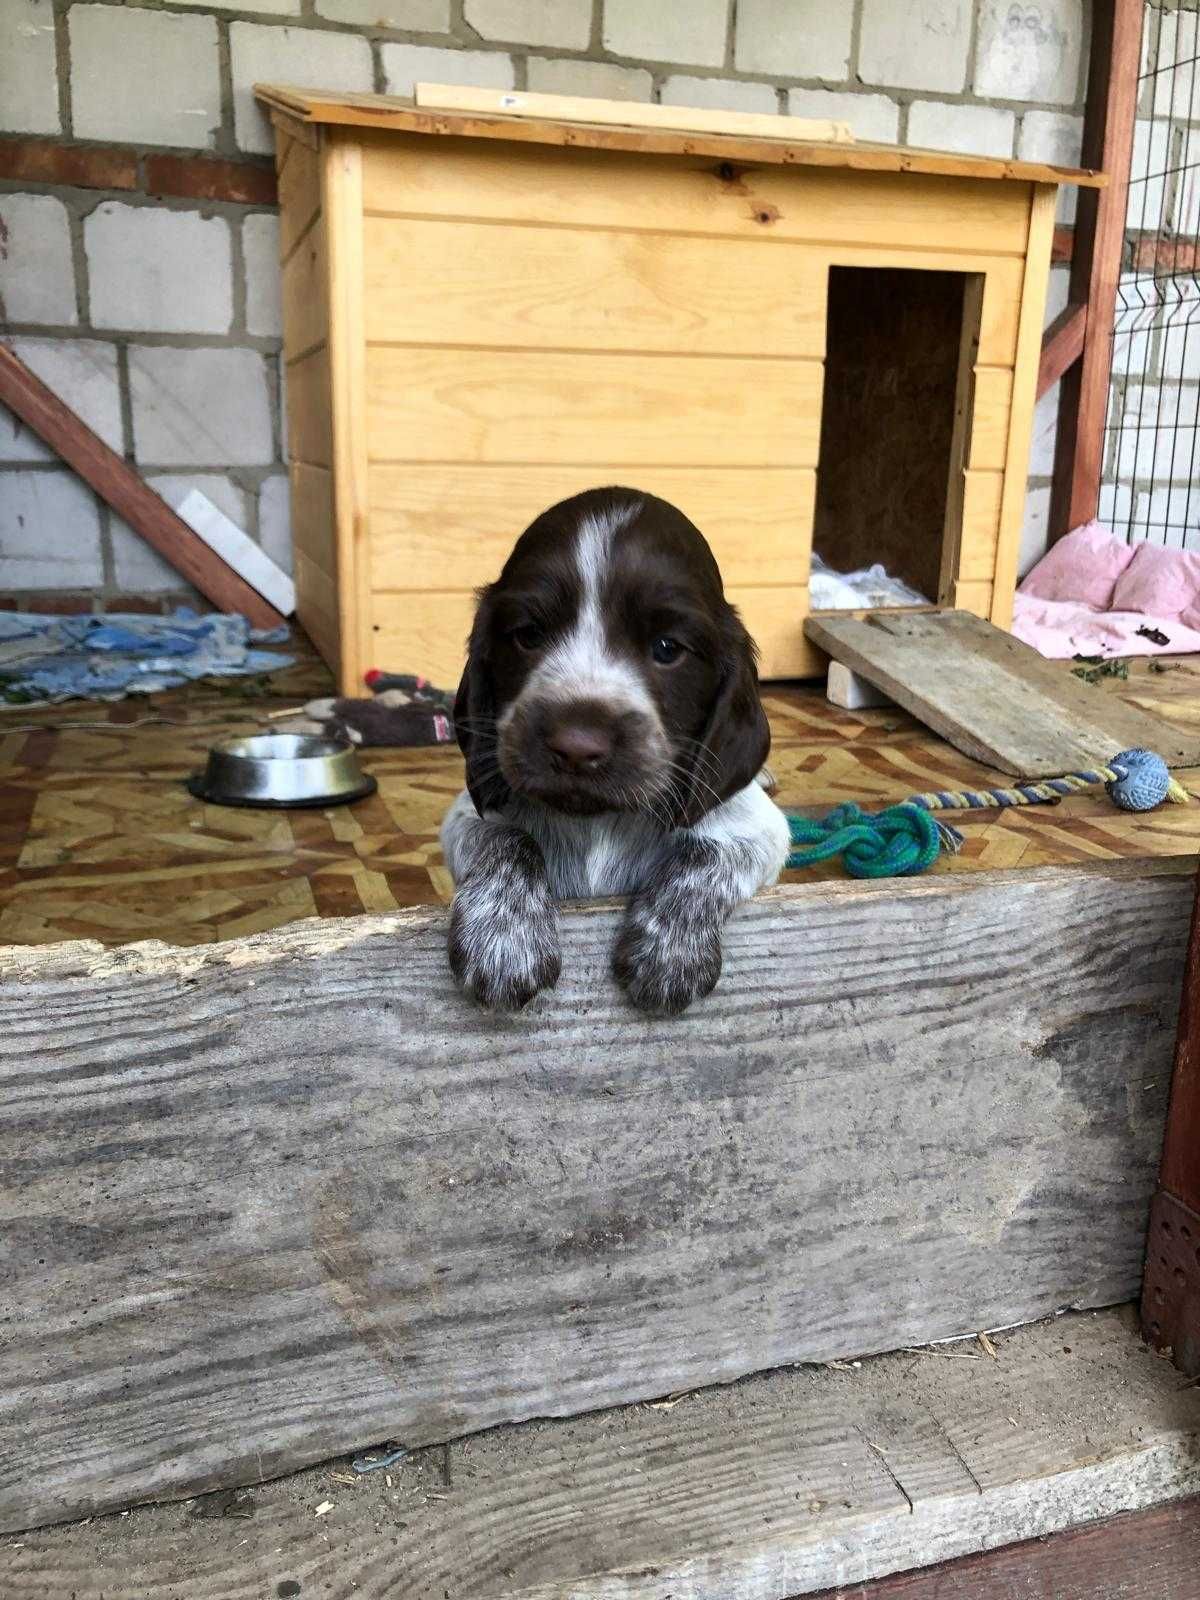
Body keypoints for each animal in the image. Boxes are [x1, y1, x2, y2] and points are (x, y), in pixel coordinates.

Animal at [441, 480, 790, 1017]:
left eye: (668, 649)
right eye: (528, 635)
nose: (576, 747)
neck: (598, 819)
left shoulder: (759, 826)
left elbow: (706, 851)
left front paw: (669, 951)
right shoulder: (469, 812)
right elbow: (504, 838)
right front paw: (502, 939)